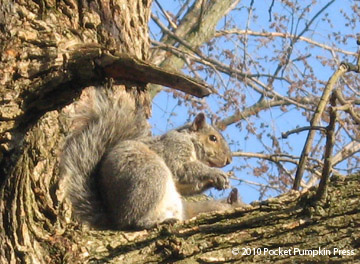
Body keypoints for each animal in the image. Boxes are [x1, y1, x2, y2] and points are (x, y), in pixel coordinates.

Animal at [60, 88, 242, 229]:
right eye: (213, 138)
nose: (228, 160)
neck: (191, 144)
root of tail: (114, 218)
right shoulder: (173, 147)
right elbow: (181, 169)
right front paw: (215, 173)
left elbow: (185, 185)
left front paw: (217, 182)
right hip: (150, 176)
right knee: (133, 221)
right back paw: (152, 222)